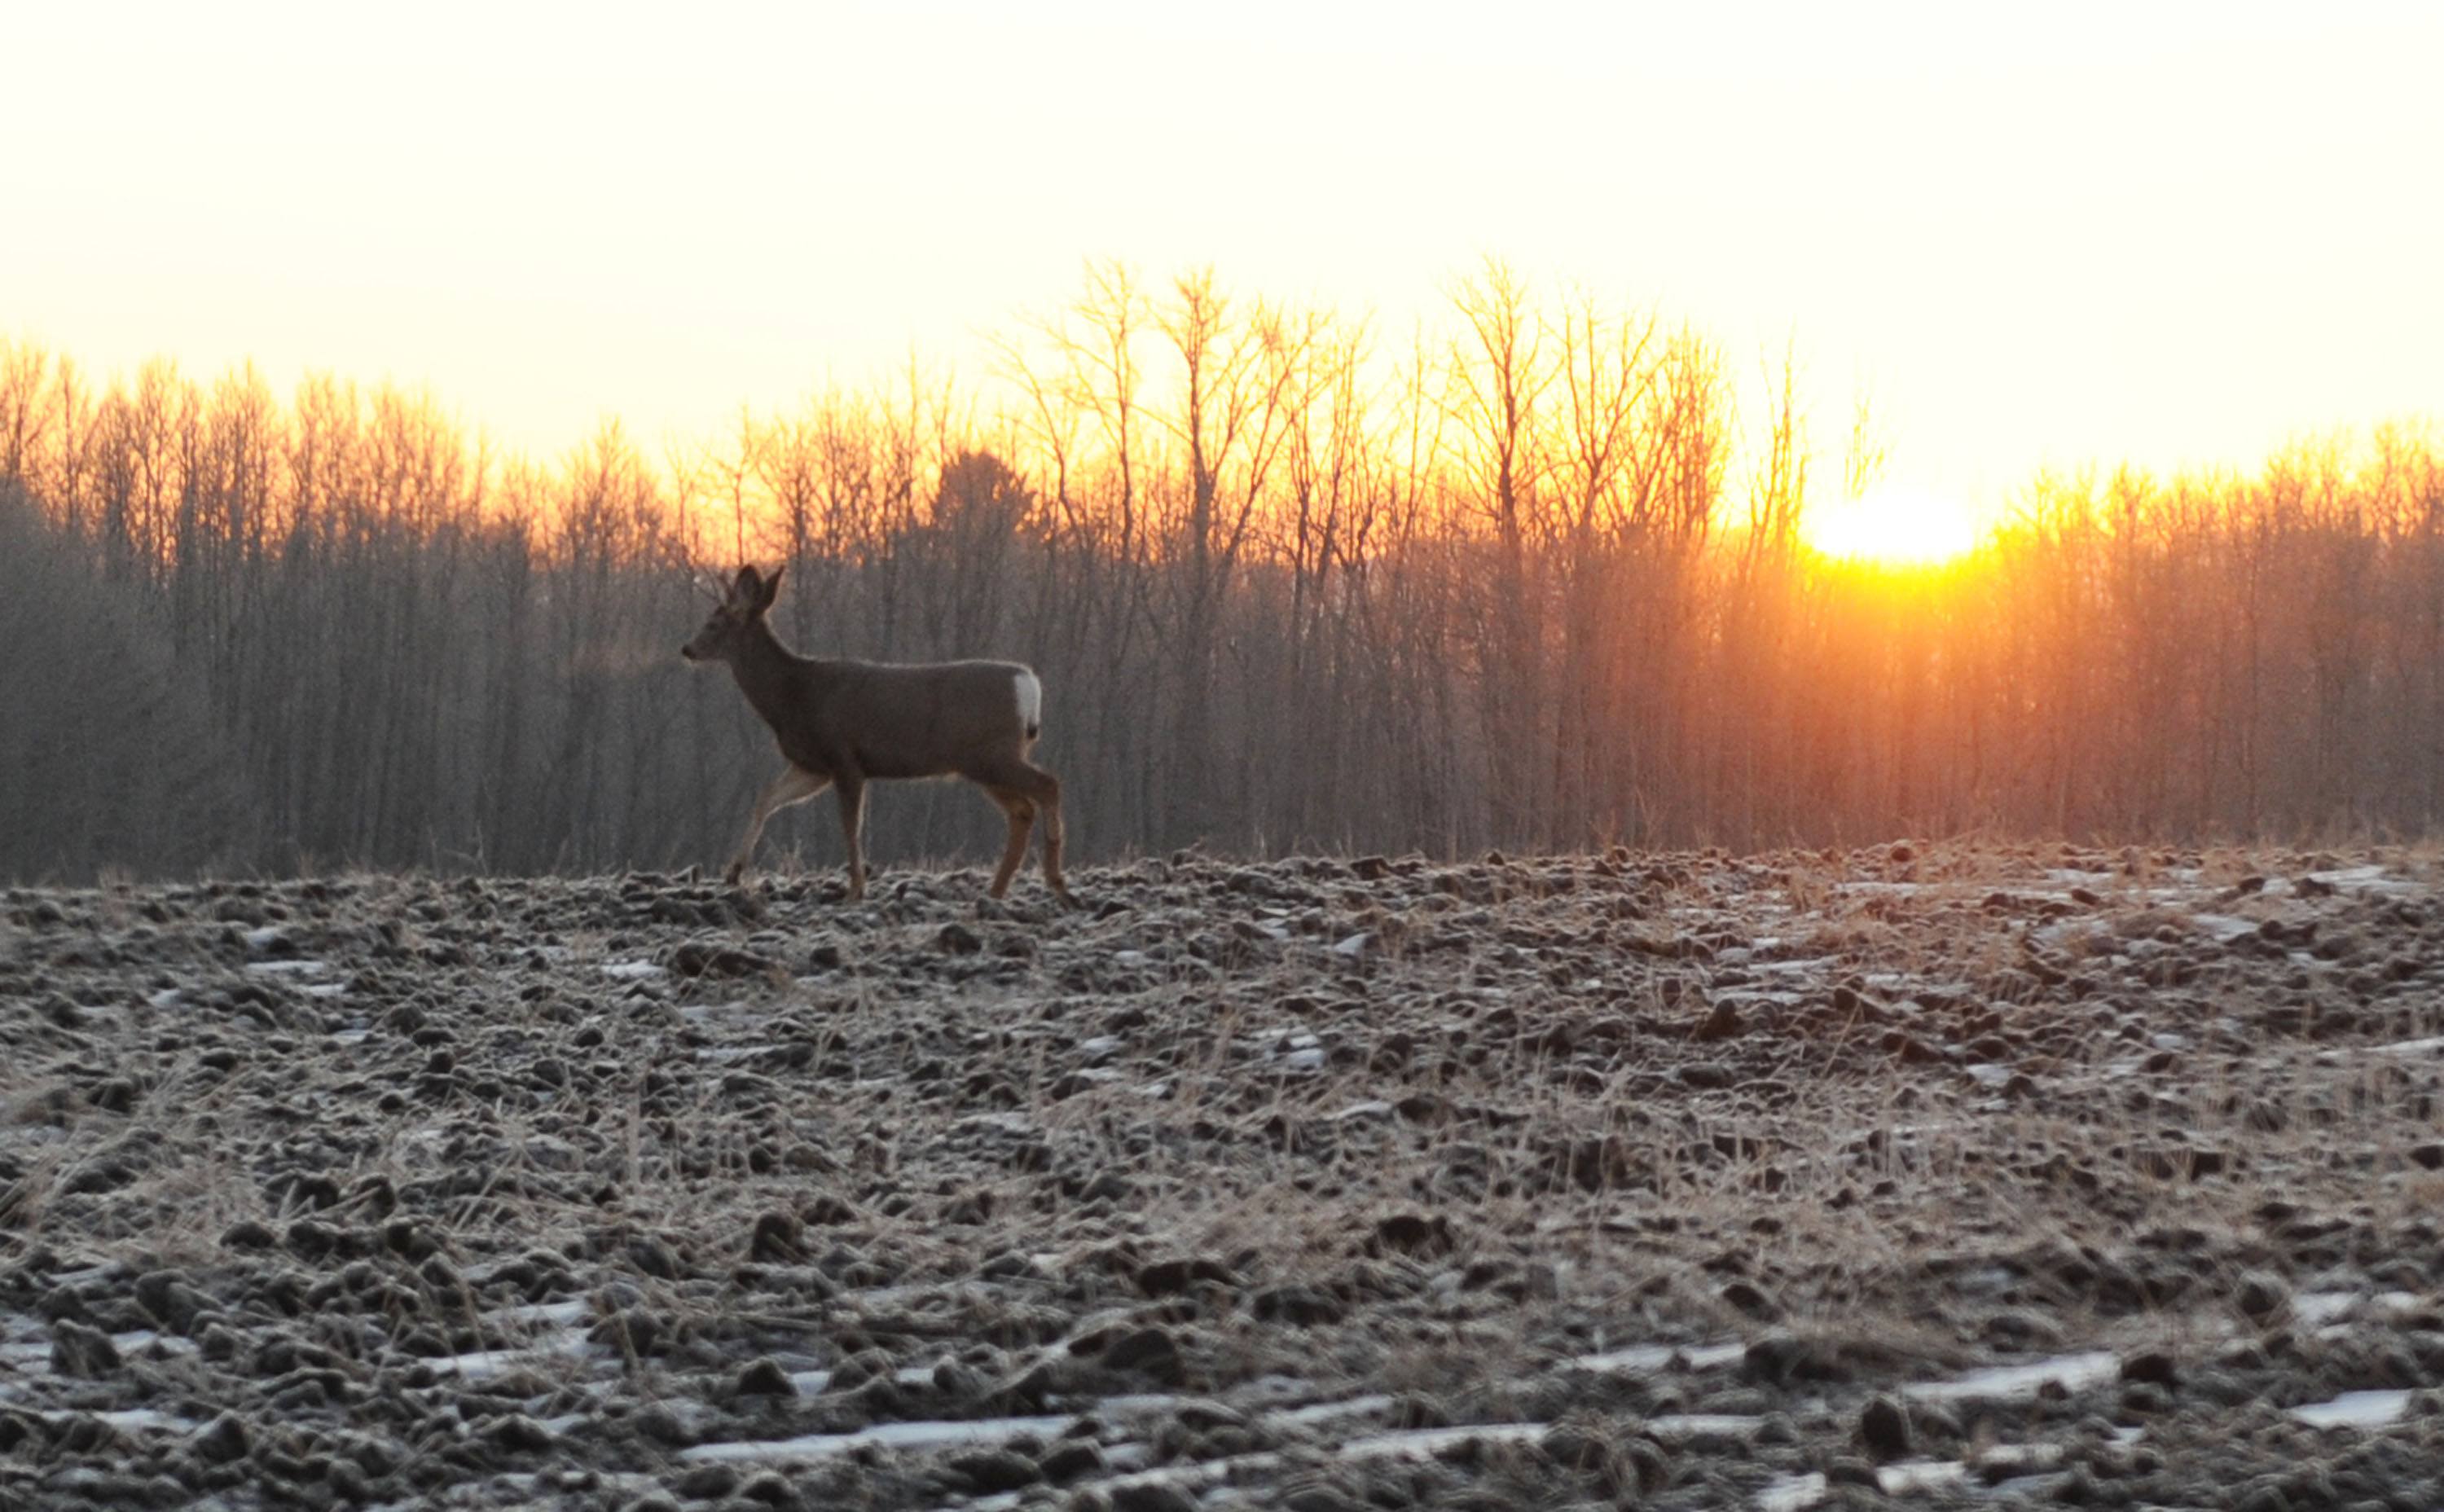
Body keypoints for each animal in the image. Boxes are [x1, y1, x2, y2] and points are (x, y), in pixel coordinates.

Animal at [684, 561, 1075, 903]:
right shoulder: (814, 766)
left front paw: (856, 890)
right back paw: (997, 891)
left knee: (1048, 785)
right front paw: (733, 872)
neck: (793, 697)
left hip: (991, 754)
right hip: (983, 761)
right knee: (1022, 810)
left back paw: (1055, 881)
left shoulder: (844, 756)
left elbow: (850, 825)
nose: (687, 649)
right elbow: (766, 798)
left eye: (715, 623)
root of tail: (1028, 683)